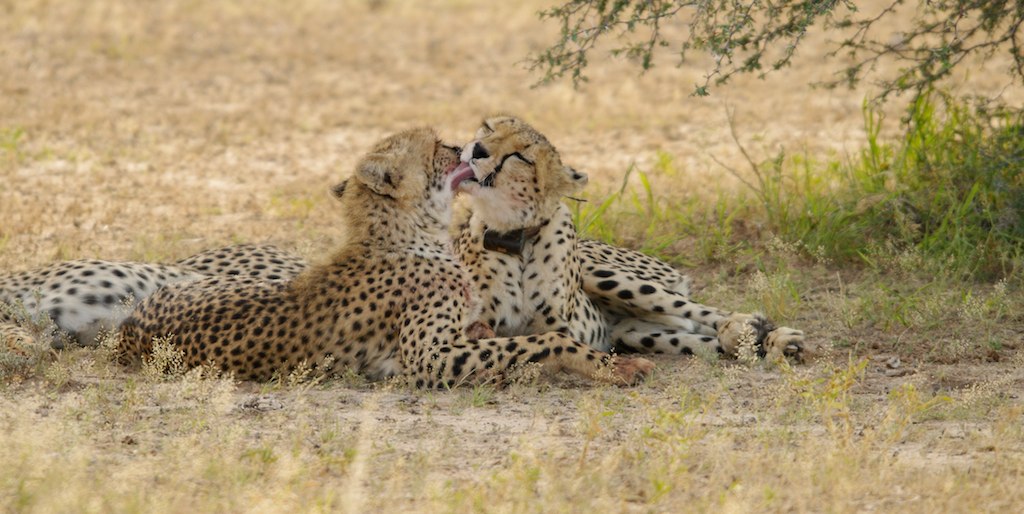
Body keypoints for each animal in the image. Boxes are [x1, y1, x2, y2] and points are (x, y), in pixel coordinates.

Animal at [116, 127, 651, 384]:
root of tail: (129, 328)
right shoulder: (427, 359)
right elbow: (540, 341)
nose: (467, 146)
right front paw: (612, 367)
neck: (414, 235)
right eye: (436, 148)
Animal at [452, 115, 802, 360]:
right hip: (635, 333)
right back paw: (764, 341)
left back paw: (759, 330)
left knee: (700, 310)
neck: (514, 235)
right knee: (694, 335)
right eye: (487, 129)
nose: (477, 149)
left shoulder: (561, 325)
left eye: (519, 157)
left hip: (608, 277)